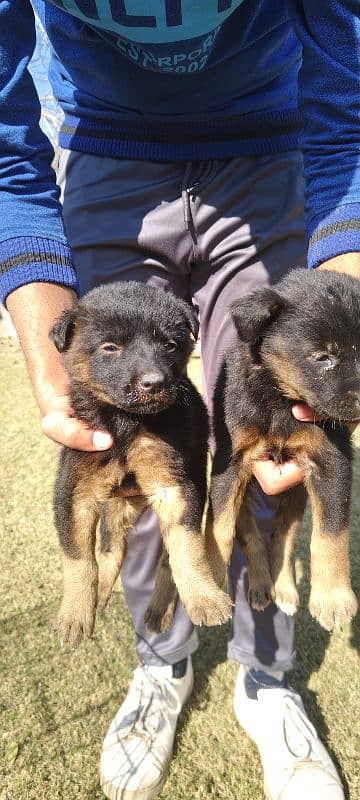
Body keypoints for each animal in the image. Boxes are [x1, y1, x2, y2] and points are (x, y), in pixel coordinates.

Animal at [50, 284, 231, 648]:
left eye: (170, 345)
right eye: (110, 348)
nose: (154, 383)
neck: (125, 421)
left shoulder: (175, 486)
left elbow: (186, 548)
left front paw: (205, 597)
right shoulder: (74, 491)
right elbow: (79, 559)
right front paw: (75, 613)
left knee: (165, 560)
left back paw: (158, 611)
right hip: (115, 504)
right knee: (111, 548)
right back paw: (100, 594)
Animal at [208, 268, 360, 632]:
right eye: (323, 357)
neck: (282, 399)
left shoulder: (332, 462)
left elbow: (331, 533)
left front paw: (333, 598)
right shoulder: (229, 463)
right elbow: (220, 528)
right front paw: (210, 583)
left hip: (294, 494)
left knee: (283, 538)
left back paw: (285, 591)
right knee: (251, 536)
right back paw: (262, 585)